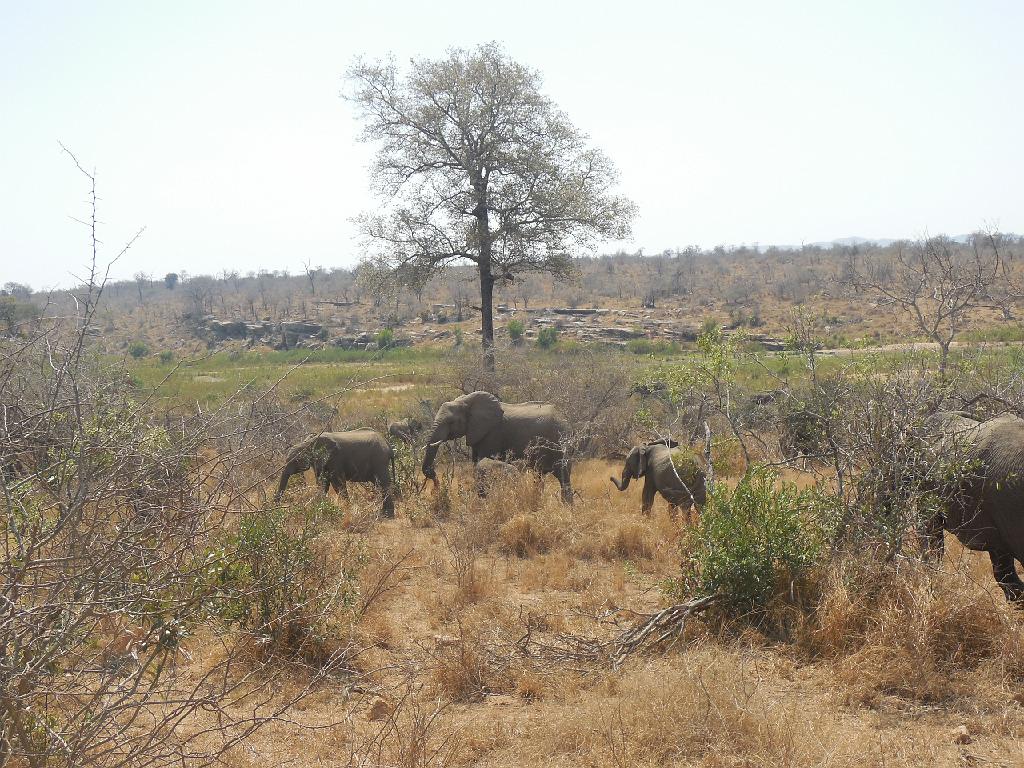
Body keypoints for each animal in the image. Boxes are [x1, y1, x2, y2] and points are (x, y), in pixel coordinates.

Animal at [419, 391, 573, 505]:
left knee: (563, 476)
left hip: (560, 445)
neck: (467, 401)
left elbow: (485, 460)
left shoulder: (492, 433)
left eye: (451, 422)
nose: (435, 489)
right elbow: (476, 462)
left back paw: (567, 506)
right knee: (540, 476)